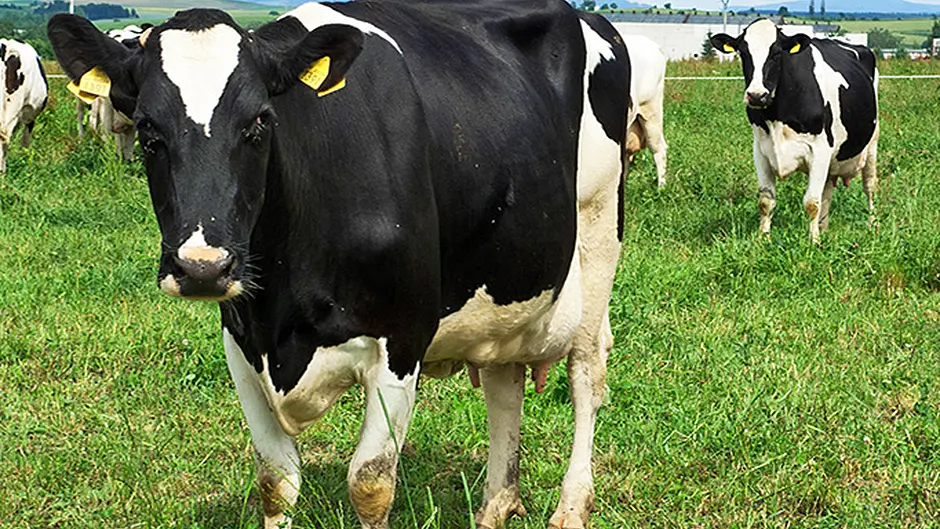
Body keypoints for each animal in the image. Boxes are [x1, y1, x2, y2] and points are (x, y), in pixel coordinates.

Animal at [47, 1, 630, 528]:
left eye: (260, 123)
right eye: (148, 129)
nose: (202, 268)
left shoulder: (403, 337)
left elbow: (370, 484)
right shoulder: (241, 338)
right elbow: (275, 482)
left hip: (598, 231)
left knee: (586, 373)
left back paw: (571, 507)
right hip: (509, 282)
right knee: (503, 382)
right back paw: (494, 508)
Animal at [711, 19, 879, 242]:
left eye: (776, 53)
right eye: (743, 53)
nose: (756, 96)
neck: (776, 114)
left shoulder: (820, 149)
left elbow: (812, 202)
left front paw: (813, 242)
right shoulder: (760, 150)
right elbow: (766, 201)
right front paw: (763, 239)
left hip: (872, 143)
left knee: (870, 186)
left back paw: (873, 226)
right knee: (827, 191)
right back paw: (824, 229)